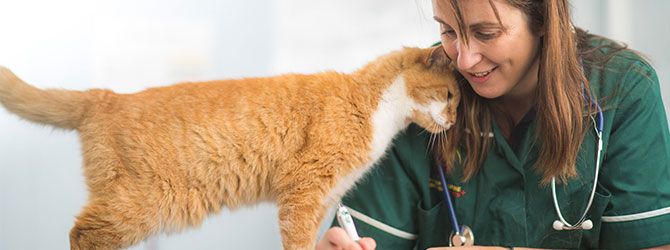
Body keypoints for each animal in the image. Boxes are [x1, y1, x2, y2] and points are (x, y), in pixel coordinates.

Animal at [0, 45, 462, 250]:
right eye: (452, 96)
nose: (457, 121)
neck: (374, 106)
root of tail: (106, 96)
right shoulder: (303, 189)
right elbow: (296, 241)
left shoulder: (325, 198)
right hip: (143, 202)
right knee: (83, 233)